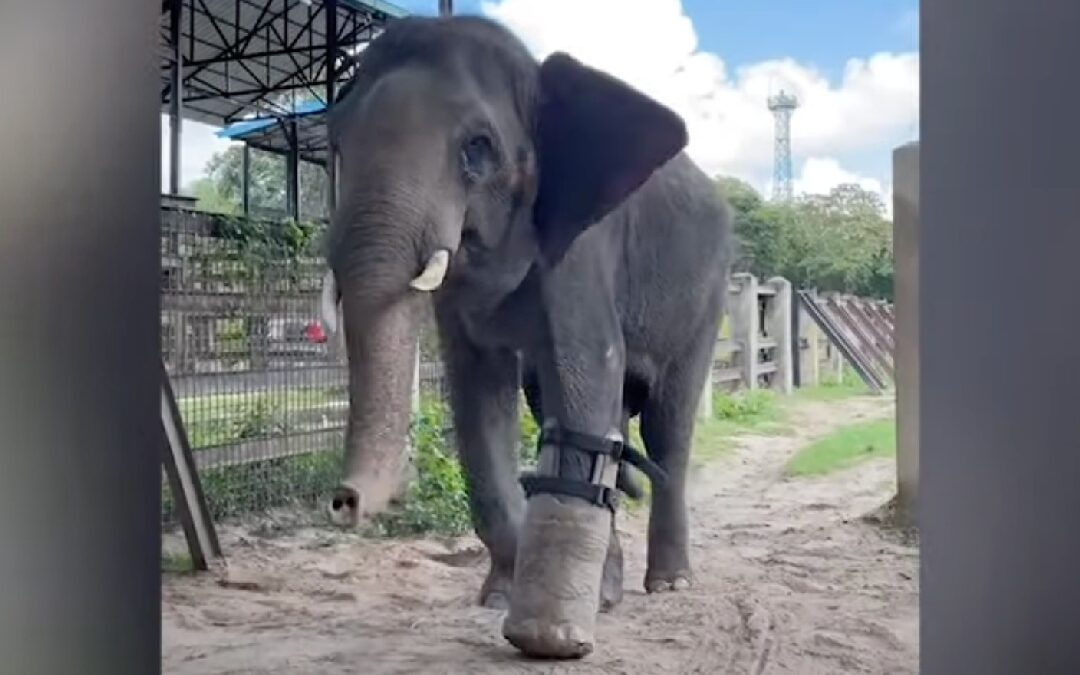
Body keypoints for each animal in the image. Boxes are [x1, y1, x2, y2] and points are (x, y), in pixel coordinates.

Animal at [317, 14, 734, 656]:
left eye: (477, 148)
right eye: (336, 144)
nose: (343, 502)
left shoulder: (584, 247)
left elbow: (588, 369)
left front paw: (551, 635)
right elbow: (478, 400)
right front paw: (498, 599)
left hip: (707, 295)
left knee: (668, 427)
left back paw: (670, 584)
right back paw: (611, 589)